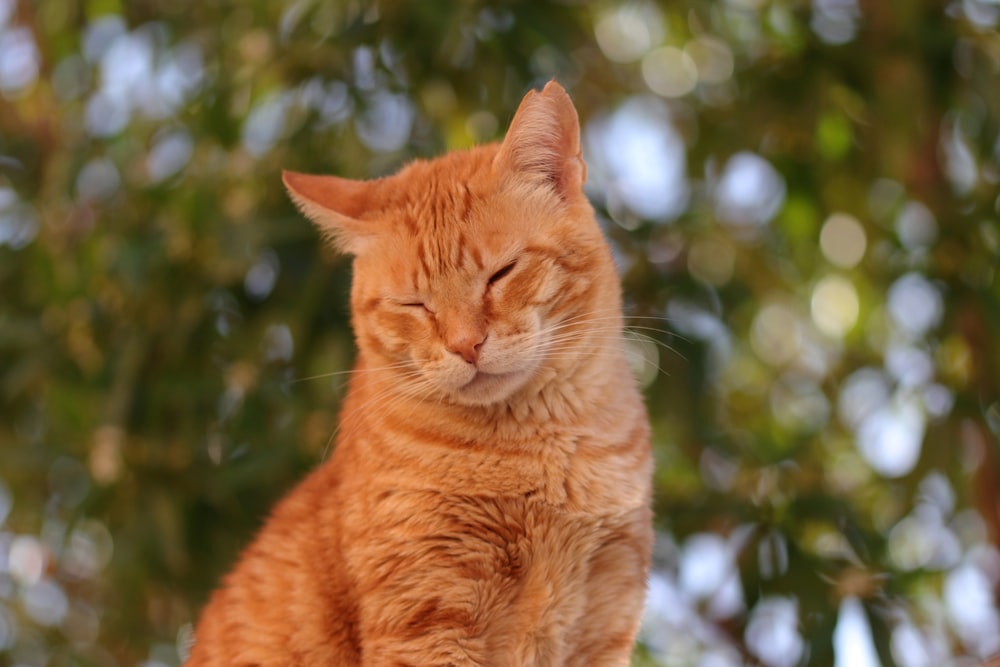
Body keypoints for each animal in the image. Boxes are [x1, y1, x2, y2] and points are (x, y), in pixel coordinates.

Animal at [188, 81, 656, 664]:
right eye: (415, 305)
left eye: (501, 274)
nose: (466, 345)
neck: (545, 449)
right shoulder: (429, 619)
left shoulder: (604, 624)